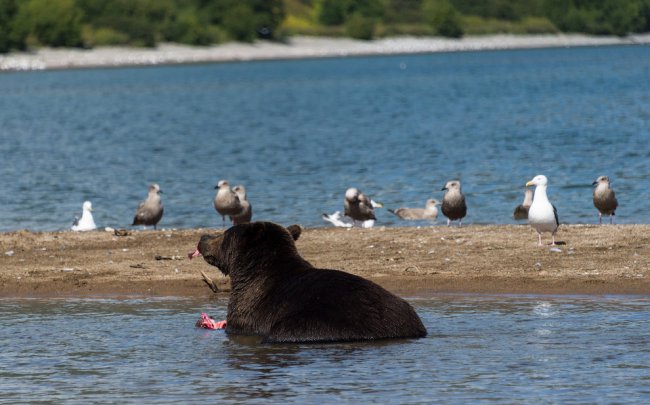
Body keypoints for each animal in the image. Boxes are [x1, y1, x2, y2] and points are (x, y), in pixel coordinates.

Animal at [187, 221, 426, 340]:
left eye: (224, 234)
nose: (202, 238)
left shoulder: (251, 304)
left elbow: (237, 322)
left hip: (319, 323)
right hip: (402, 313)